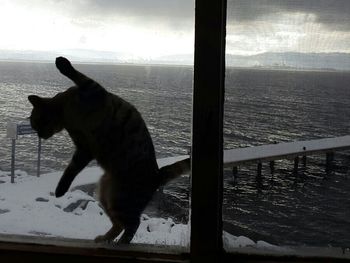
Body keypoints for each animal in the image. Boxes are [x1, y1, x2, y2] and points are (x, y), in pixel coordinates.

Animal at [27, 57, 190, 245]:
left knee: (133, 223)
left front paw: (62, 63)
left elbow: (76, 74)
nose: (40, 135)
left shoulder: (94, 89)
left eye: (36, 123)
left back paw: (122, 242)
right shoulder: (84, 148)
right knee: (121, 224)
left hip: (120, 199)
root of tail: (156, 174)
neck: (68, 114)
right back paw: (106, 239)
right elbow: (70, 170)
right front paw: (61, 189)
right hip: (107, 195)